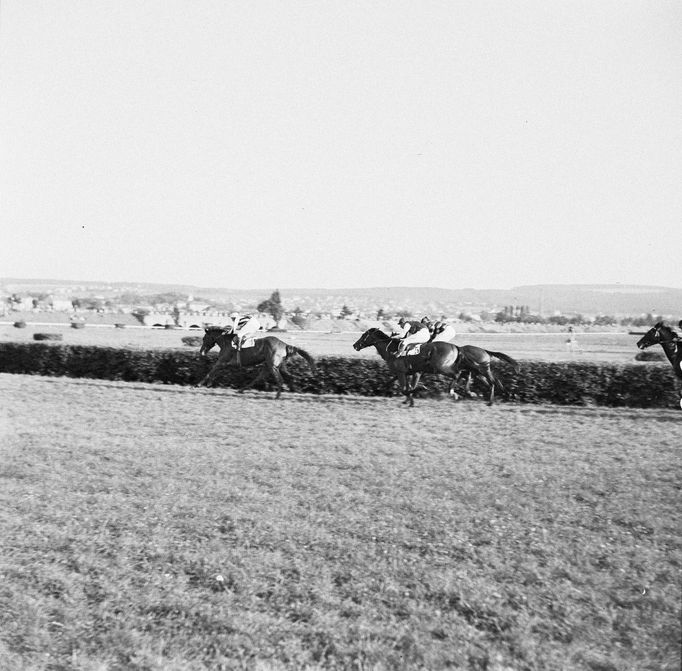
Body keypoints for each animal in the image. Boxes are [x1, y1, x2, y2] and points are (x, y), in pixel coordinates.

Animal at [350, 328, 516, 406]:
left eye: (364, 335)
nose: (355, 345)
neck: (391, 349)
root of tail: (456, 347)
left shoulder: (402, 372)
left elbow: (405, 388)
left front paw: (415, 394)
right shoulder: (412, 372)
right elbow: (405, 386)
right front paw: (409, 400)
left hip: (444, 367)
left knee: (458, 375)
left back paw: (456, 393)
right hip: (475, 371)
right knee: (483, 380)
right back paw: (482, 397)